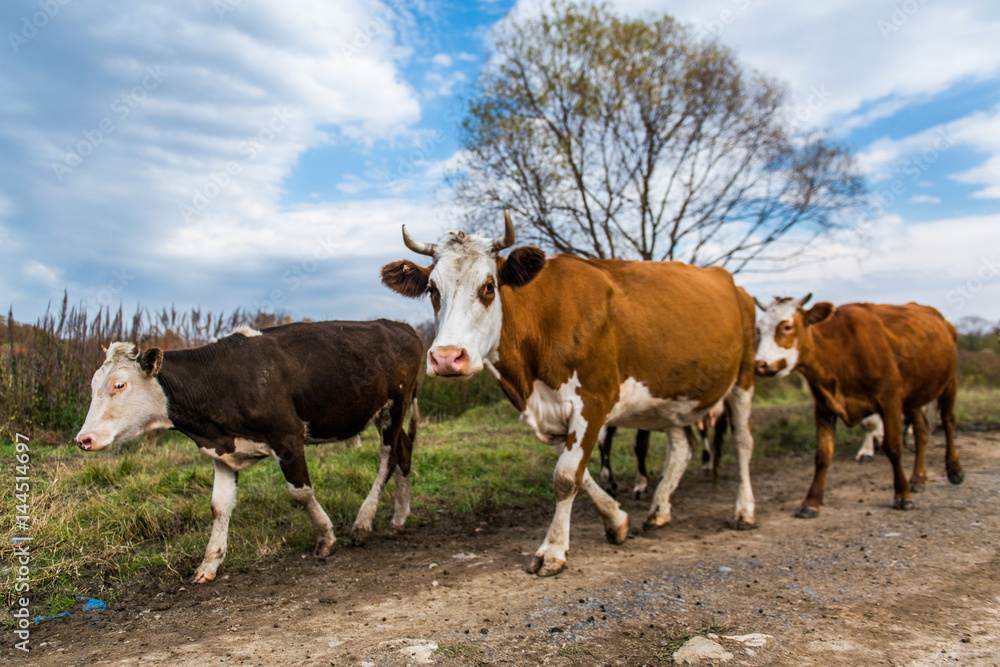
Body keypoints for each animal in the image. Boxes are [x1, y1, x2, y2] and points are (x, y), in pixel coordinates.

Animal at [76, 320, 422, 584]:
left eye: (119, 385)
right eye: (92, 385)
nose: (84, 439)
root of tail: (399, 326)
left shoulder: (288, 436)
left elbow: (300, 492)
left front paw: (326, 537)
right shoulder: (222, 450)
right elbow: (219, 506)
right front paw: (210, 563)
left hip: (395, 405)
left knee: (389, 456)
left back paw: (364, 523)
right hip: (379, 411)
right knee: (404, 449)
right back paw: (399, 518)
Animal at [378, 215, 752, 580]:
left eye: (488, 286)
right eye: (432, 289)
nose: (446, 358)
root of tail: (730, 281)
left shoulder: (594, 401)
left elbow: (566, 476)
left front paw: (553, 551)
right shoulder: (551, 413)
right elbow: (578, 475)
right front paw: (616, 520)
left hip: (743, 378)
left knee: (742, 444)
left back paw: (744, 511)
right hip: (671, 396)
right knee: (682, 447)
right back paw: (659, 510)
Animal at [756, 294, 960, 520]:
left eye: (787, 326)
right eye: (759, 329)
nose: (760, 365)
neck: (840, 352)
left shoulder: (890, 401)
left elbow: (893, 448)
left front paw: (902, 495)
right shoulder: (824, 407)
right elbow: (822, 455)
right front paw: (811, 502)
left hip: (949, 381)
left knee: (948, 422)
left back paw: (954, 470)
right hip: (914, 395)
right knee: (921, 433)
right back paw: (917, 479)